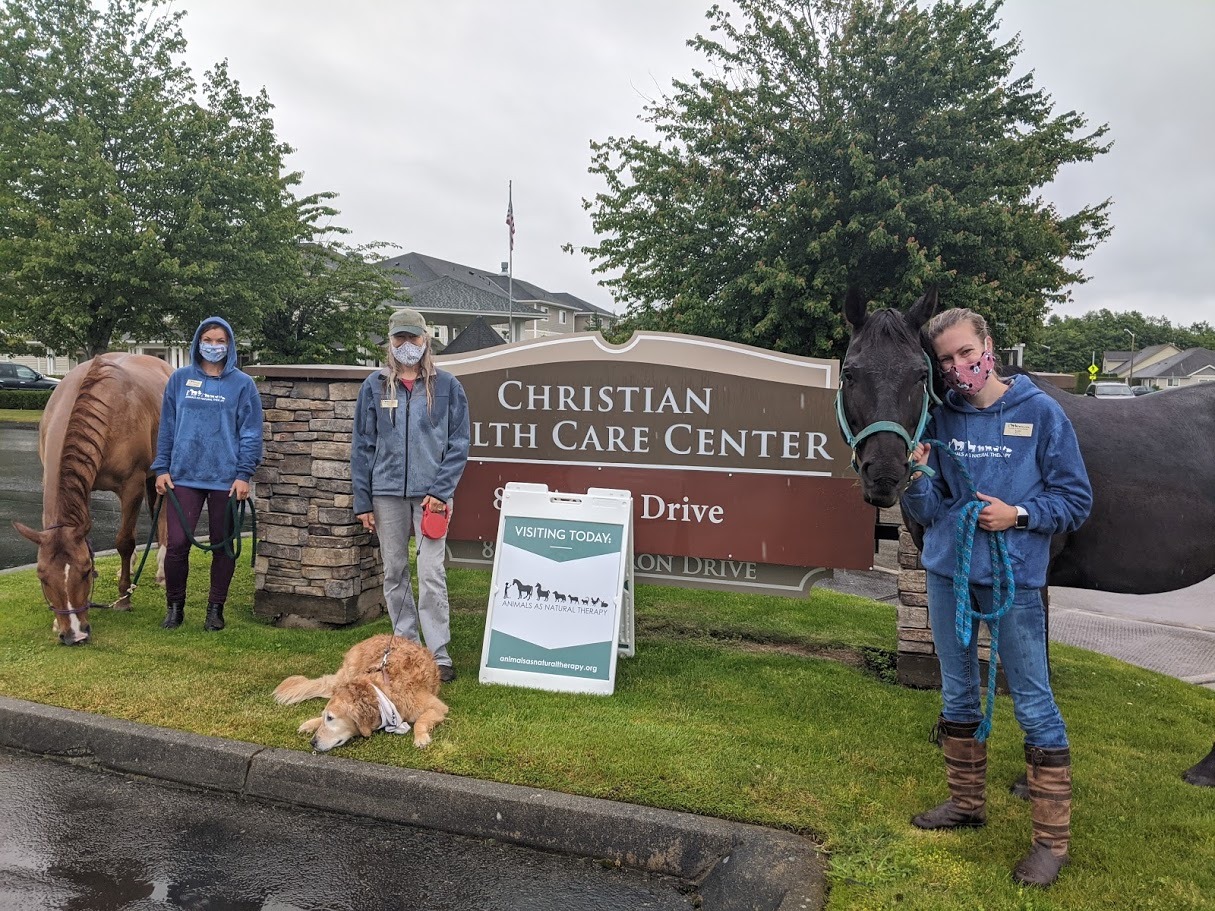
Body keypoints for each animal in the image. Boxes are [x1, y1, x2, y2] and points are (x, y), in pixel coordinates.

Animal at [13, 353, 172, 645]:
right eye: (41, 576)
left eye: (86, 571)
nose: (74, 635)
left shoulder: (131, 486)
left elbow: (124, 542)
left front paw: (124, 599)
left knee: (163, 513)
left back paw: (162, 571)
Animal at [273, 634, 448, 752]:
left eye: (331, 718)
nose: (313, 743)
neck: (380, 693)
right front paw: (313, 723)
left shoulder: (439, 707)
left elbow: (421, 720)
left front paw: (421, 737)